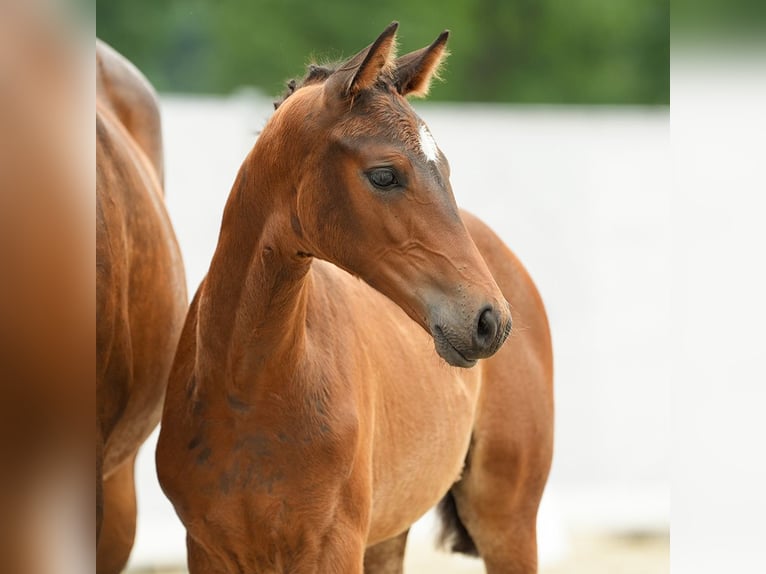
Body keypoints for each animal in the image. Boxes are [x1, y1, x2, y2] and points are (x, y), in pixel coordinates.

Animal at [158, 21, 552, 572]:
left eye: (446, 170)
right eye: (384, 175)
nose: (489, 320)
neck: (247, 388)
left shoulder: (333, 544)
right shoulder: (208, 547)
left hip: (507, 520)